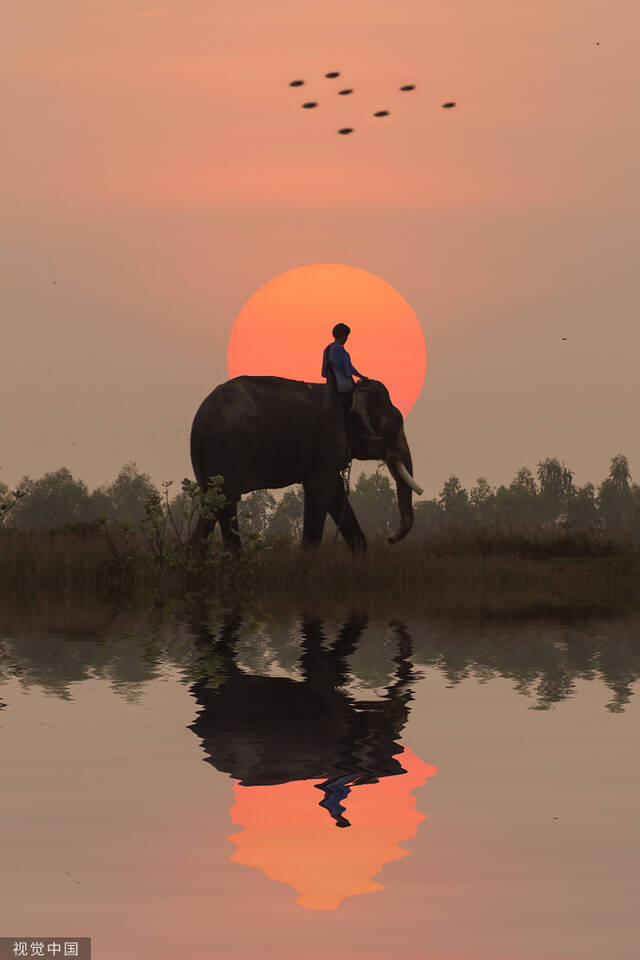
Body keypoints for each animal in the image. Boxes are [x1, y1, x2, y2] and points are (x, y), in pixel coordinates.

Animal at [188, 378, 422, 552]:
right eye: (395, 426)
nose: (389, 538)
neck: (348, 392)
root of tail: (199, 419)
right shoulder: (326, 444)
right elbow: (319, 492)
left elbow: (336, 495)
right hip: (224, 453)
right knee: (226, 504)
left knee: (210, 507)